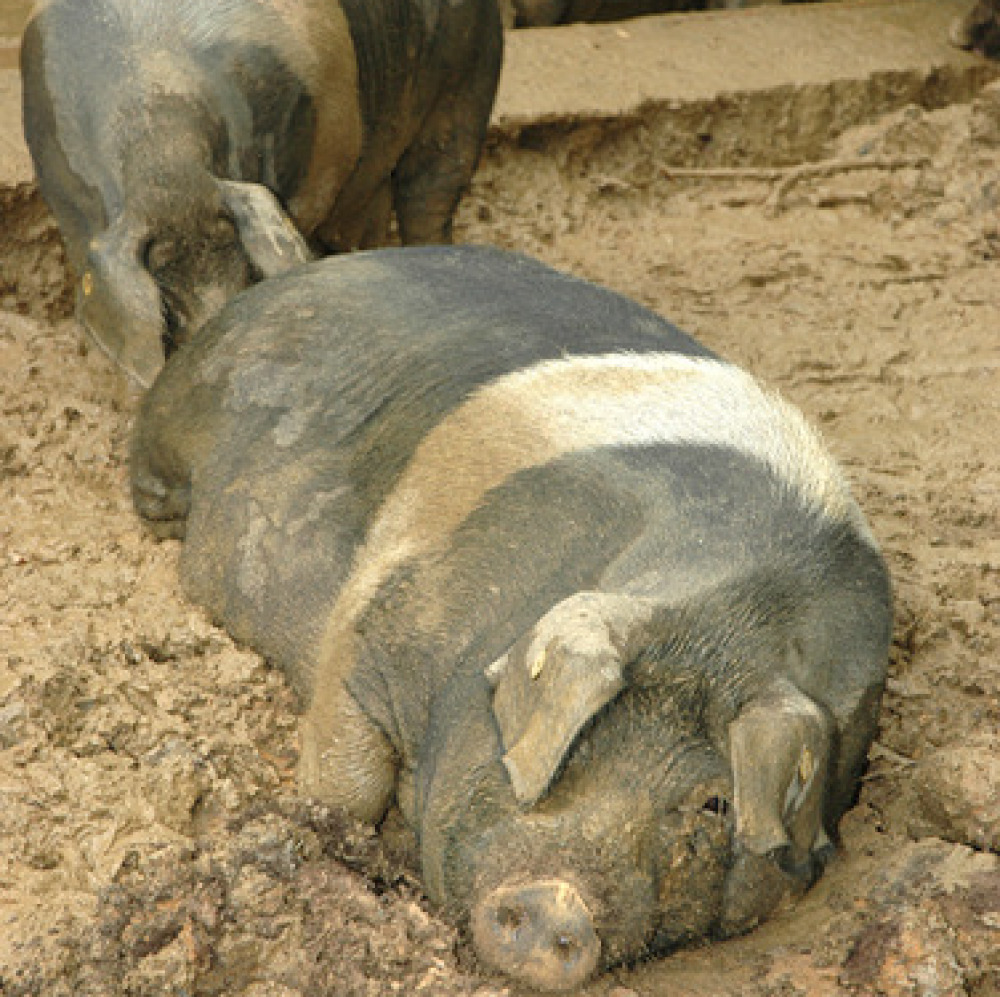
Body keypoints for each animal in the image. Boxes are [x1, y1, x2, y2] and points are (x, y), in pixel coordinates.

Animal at [131, 247, 892, 988]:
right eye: (579, 739)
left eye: (714, 804)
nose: (554, 899)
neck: (728, 619)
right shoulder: (384, 616)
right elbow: (348, 778)